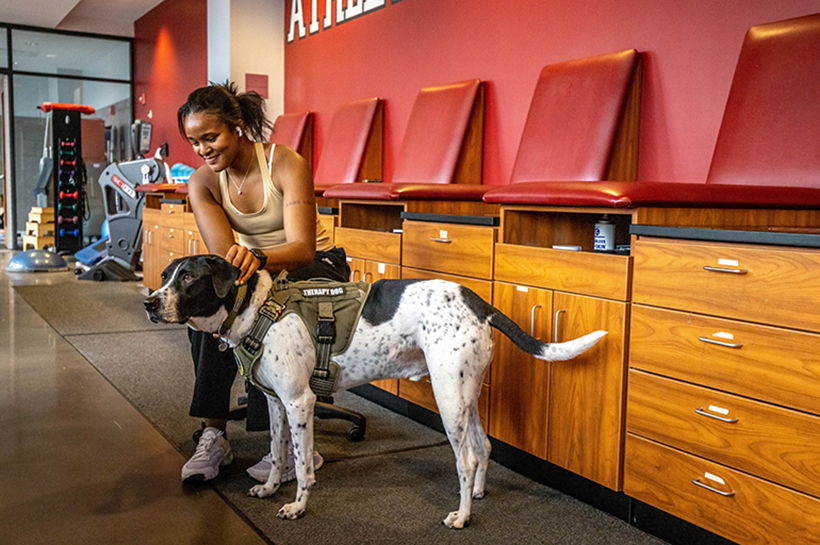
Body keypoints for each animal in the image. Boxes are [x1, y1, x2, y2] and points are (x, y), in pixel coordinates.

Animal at [144, 255, 604, 528]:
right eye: (165, 276)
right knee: (485, 446)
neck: (254, 308)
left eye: (188, 277)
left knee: (467, 458)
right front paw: (271, 487)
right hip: (464, 395)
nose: (149, 302)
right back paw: (476, 492)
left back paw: (462, 515)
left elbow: (302, 465)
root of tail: (477, 301)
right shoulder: (276, 404)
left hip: (448, 398)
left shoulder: (300, 403)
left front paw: (298, 506)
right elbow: (277, 454)